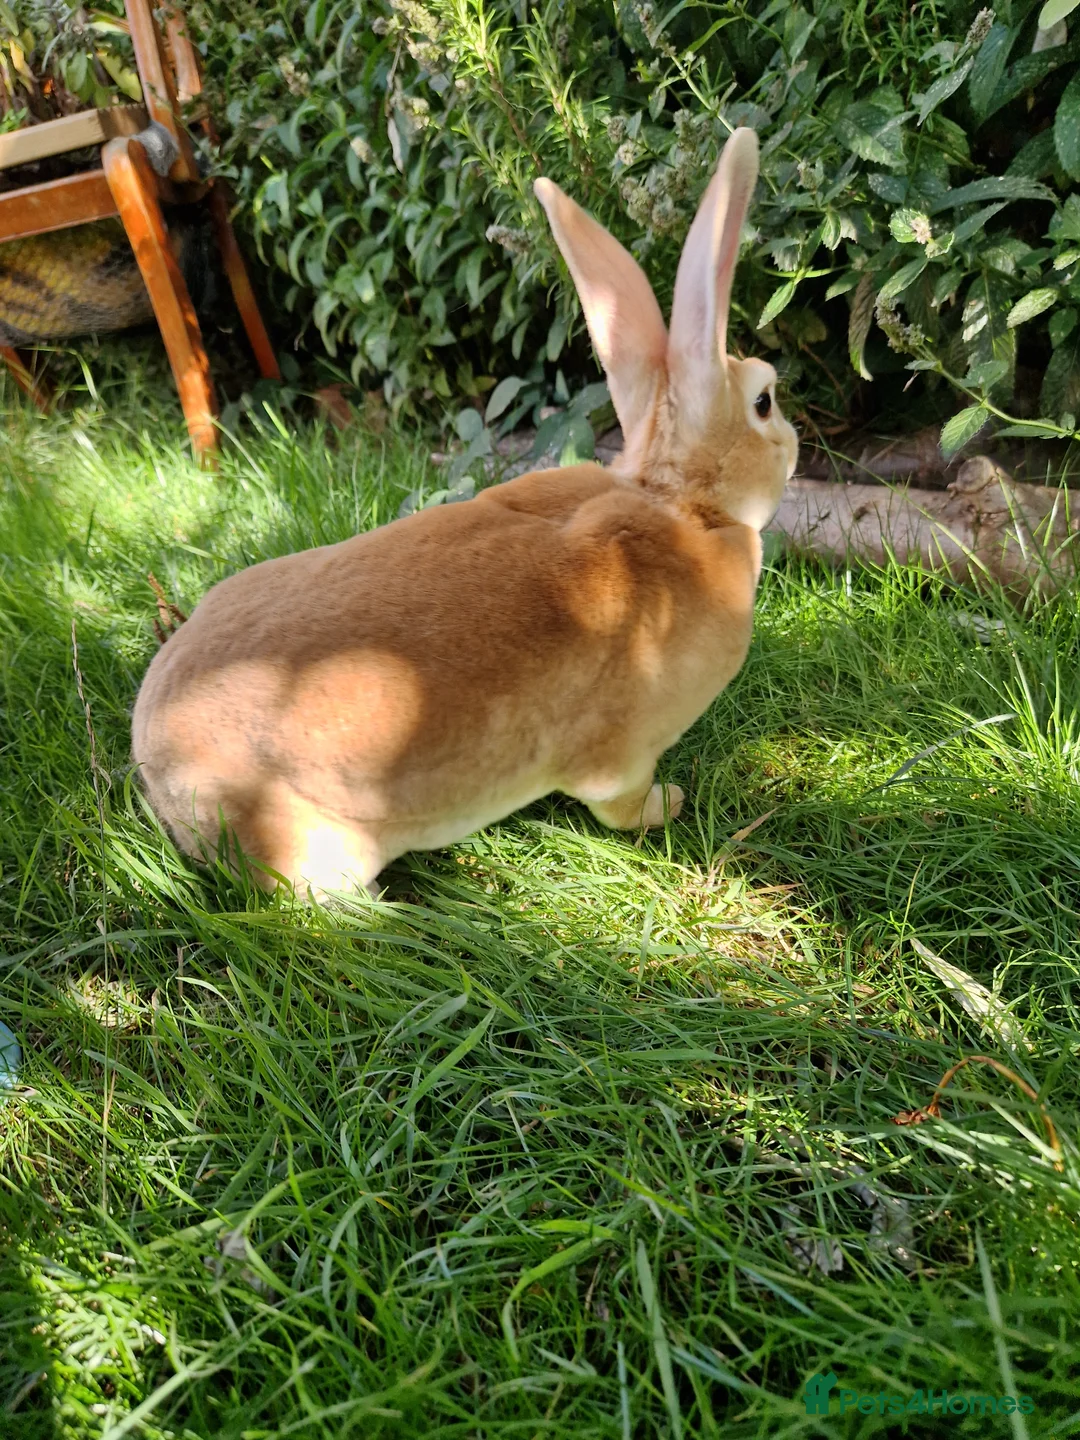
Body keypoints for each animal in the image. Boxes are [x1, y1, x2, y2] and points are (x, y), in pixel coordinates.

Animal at [131, 127, 798, 901]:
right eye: (764, 402)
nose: (797, 443)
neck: (678, 505)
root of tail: (157, 772)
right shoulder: (621, 757)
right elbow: (622, 804)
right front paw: (671, 804)